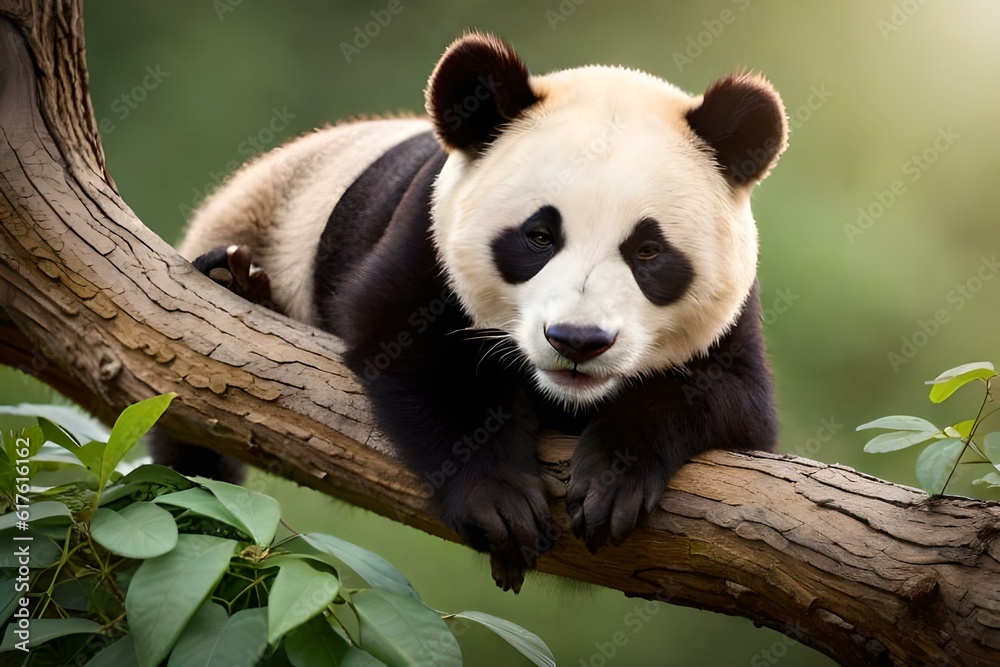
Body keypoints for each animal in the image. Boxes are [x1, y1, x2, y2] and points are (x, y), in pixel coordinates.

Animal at [155, 32, 787, 593]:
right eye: (538, 236)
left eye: (648, 251)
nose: (577, 341)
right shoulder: (426, 234)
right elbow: (414, 354)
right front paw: (500, 503)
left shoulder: (735, 315)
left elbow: (729, 398)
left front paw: (612, 483)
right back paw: (233, 282)